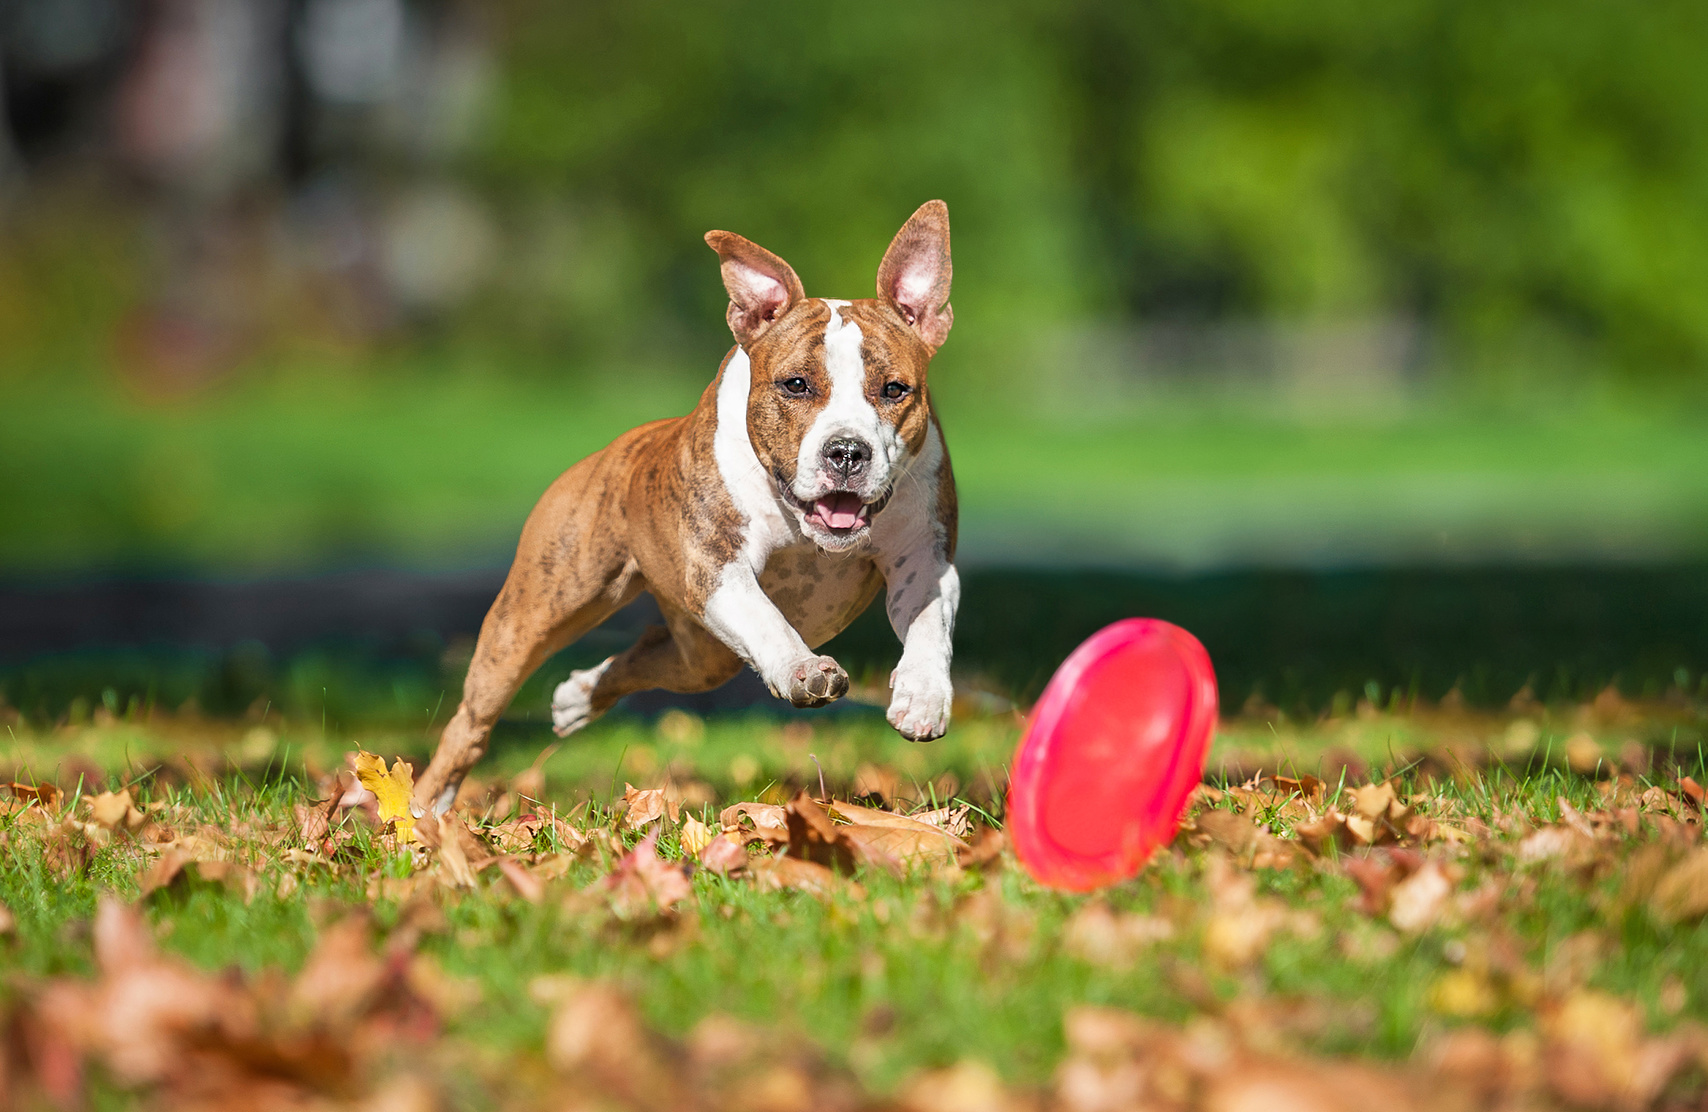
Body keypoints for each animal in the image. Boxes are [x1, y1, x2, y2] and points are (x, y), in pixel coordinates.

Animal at [406, 199, 956, 813]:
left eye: (894, 390)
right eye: (795, 385)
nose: (847, 452)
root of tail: (612, 451)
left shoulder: (925, 560)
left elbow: (928, 624)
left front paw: (923, 696)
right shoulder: (716, 568)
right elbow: (768, 621)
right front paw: (802, 669)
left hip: (704, 657)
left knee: (648, 654)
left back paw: (578, 696)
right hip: (530, 617)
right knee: (472, 722)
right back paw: (422, 809)